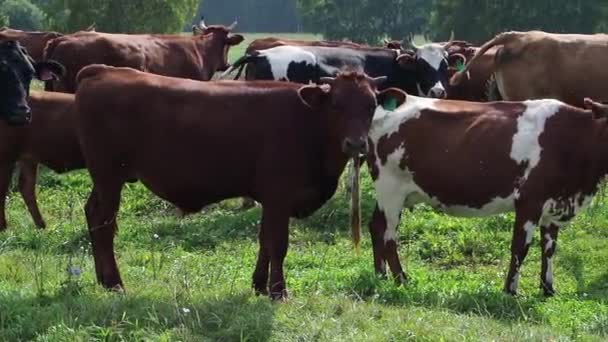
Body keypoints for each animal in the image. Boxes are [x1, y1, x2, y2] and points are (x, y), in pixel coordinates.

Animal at [75, 64, 404, 300]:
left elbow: (264, 240)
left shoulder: (269, 198)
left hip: (104, 181)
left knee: (92, 214)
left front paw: (259, 285)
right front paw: (278, 291)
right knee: (104, 223)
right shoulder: (279, 195)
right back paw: (114, 283)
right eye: (336, 104)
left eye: (371, 105)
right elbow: (278, 244)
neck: (310, 123)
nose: (356, 144)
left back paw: (102, 279)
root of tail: (104, 70)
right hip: (109, 177)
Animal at [366, 94, 608, 296]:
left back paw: (381, 275)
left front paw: (548, 289)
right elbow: (520, 247)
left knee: (376, 226)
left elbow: (549, 248)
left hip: (389, 194)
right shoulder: (530, 201)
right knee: (389, 237)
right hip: (390, 189)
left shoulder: (554, 205)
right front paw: (510, 291)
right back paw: (401, 280)